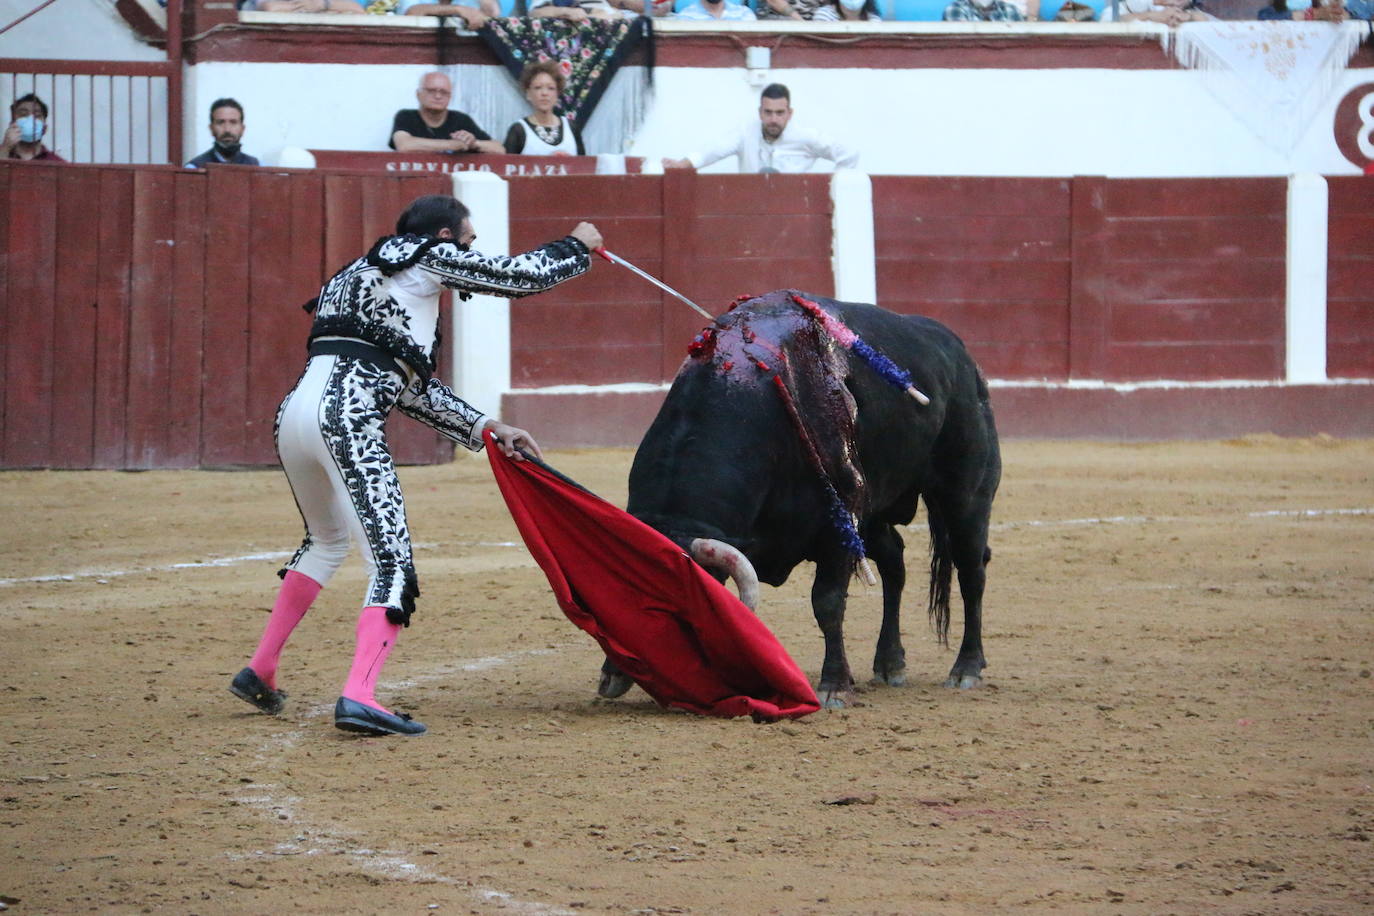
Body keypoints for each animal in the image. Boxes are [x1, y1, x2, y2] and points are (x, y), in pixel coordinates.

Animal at [599, 292, 1000, 708]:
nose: (627, 669)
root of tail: (961, 356)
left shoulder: (839, 527)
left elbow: (827, 601)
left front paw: (834, 686)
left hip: (966, 496)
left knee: (971, 570)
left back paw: (966, 669)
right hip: (873, 513)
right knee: (894, 563)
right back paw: (890, 663)